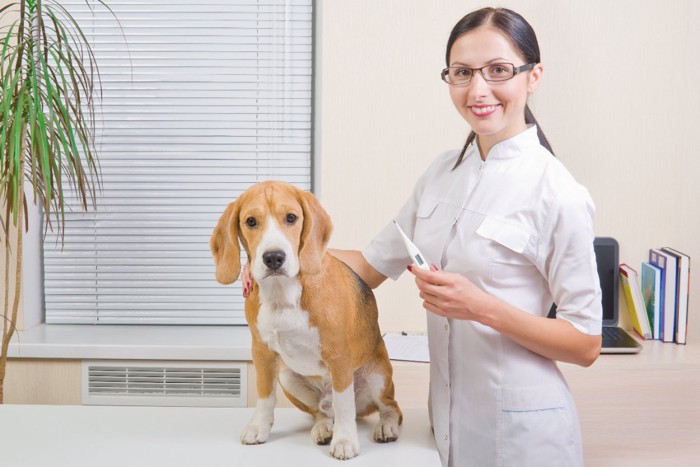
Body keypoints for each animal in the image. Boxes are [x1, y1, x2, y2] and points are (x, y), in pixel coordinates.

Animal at [211, 180, 402, 460]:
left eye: (291, 218)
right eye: (251, 221)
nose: (274, 258)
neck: (282, 292)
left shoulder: (339, 356)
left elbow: (344, 404)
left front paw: (345, 440)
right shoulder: (262, 351)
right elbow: (265, 396)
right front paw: (259, 427)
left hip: (378, 376)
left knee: (388, 406)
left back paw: (385, 425)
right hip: (287, 376)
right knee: (321, 412)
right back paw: (323, 427)